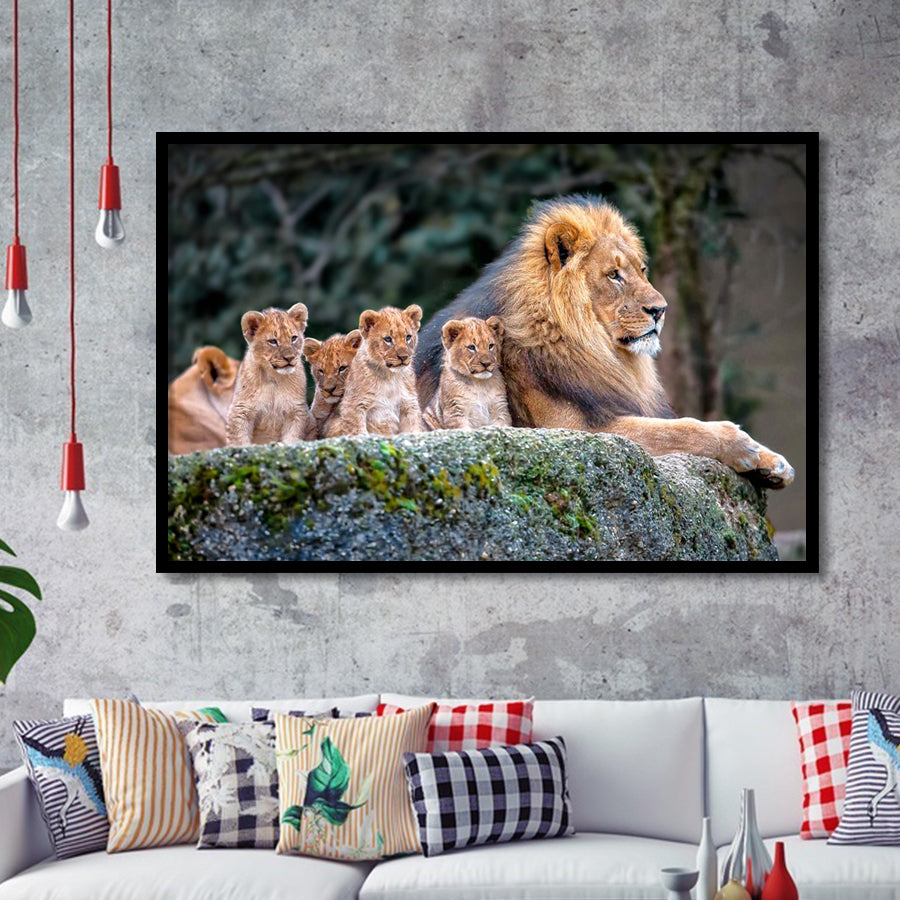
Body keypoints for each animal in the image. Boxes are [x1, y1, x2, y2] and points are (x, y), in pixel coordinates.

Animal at [226, 302, 312, 446]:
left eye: (293, 338)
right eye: (273, 341)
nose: (289, 358)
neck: (274, 378)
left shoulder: (296, 409)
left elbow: (292, 436)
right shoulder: (241, 410)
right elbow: (239, 439)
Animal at [325, 305, 424, 437]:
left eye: (408, 337)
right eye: (388, 339)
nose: (403, 357)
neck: (390, 377)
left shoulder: (409, 404)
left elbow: (414, 429)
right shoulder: (354, 405)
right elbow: (358, 430)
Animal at [416, 195, 793, 488]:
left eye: (642, 270)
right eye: (614, 275)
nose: (660, 310)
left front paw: (773, 461)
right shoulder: (573, 429)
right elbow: (676, 430)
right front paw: (739, 443)